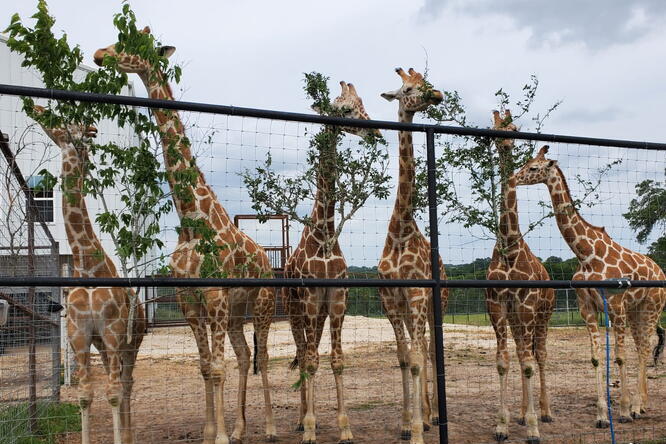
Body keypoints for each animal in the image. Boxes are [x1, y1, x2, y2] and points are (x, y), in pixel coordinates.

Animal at [31, 106, 146, 444]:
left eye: (66, 124)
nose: (38, 110)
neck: (87, 265)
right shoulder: (80, 335)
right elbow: (85, 396)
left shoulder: (112, 331)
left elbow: (113, 394)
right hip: (104, 345)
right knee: (117, 381)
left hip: (128, 342)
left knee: (126, 385)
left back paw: (130, 436)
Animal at [94, 28, 277, 444]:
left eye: (132, 42)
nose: (98, 54)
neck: (192, 217)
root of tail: (266, 258)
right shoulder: (191, 300)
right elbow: (206, 367)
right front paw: (213, 432)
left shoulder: (214, 295)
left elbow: (218, 367)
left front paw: (220, 436)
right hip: (235, 313)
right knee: (245, 355)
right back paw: (241, 427)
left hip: (260, 303)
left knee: (262, 355)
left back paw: (273, 426)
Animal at [284, 81, 380, 444]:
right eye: (347, 109)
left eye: (363, 104)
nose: (374, 130)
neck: (324, 235)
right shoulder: (311, 301)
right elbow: (310, 361)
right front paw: (310, 429)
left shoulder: (336, 300)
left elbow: (336, 360)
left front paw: (345, 427)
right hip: (295, 311)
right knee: (302, 354)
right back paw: (300, 421)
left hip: (320, 315)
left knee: (311, 353)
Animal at [514, 145, 666, 426]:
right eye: (526, 164)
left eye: (533, 167)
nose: (515, 178)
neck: (586, 254)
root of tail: (659, 269)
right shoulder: (587, 306)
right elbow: (596, 358)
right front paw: (602, 415)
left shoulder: (614, 304)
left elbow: (619, 356)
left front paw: (624, 411)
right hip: (636, 310)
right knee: (642, 347)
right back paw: (643, 405)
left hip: (652, 307)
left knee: (643, 349)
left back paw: (637, 407)